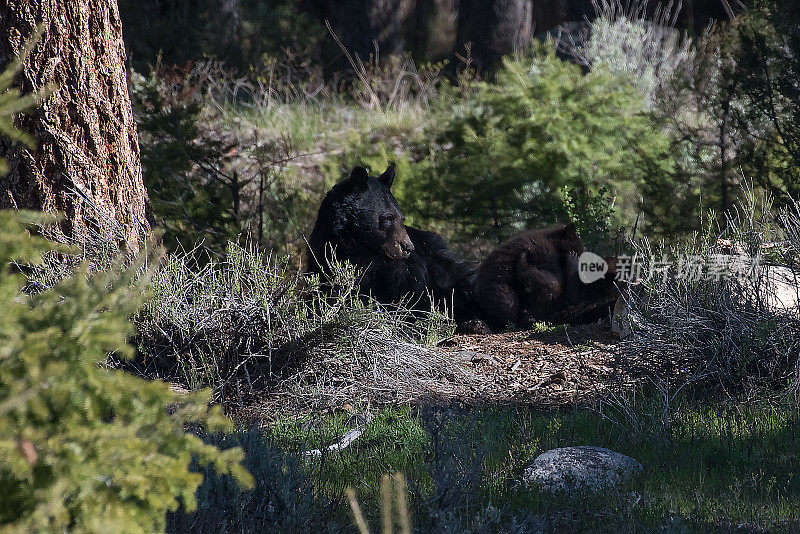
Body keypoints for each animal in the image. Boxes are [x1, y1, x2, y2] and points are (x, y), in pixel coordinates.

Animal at [306, 165, 482, 330]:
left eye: (401, 218)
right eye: (388, 218)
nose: (408, 247)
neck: (360, 247)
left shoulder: (400, 274)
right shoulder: (321, 256)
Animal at [472, 224, 620, 332]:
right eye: (580, 251)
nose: (580, 263)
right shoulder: (545, 253)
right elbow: (553, 281)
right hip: (497, 288)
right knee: (509, 304)